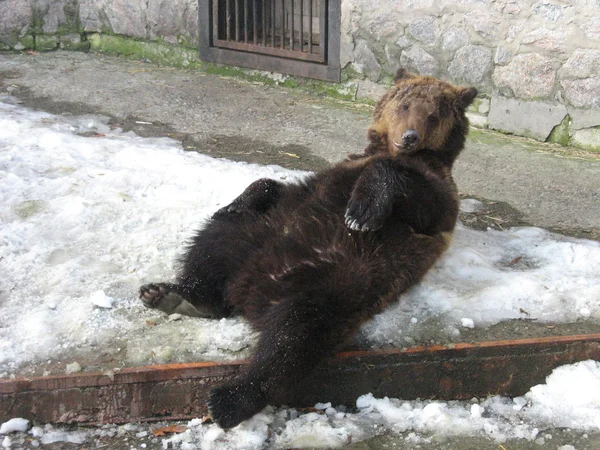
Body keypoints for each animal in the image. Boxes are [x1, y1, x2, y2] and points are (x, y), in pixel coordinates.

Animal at [138, 69, 476, 428]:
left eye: (434, 114)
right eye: (405, 104)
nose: (410, 136)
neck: (397, 152)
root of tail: (250, 292)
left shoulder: (437, 195)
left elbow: (419, 198)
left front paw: (361, 214)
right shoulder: (338, 169)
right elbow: (273, 187)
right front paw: (236, 200)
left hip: (342, 281)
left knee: (295, 334)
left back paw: (230, 398)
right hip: (260, 236)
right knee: (217, 242)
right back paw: (172, 294)